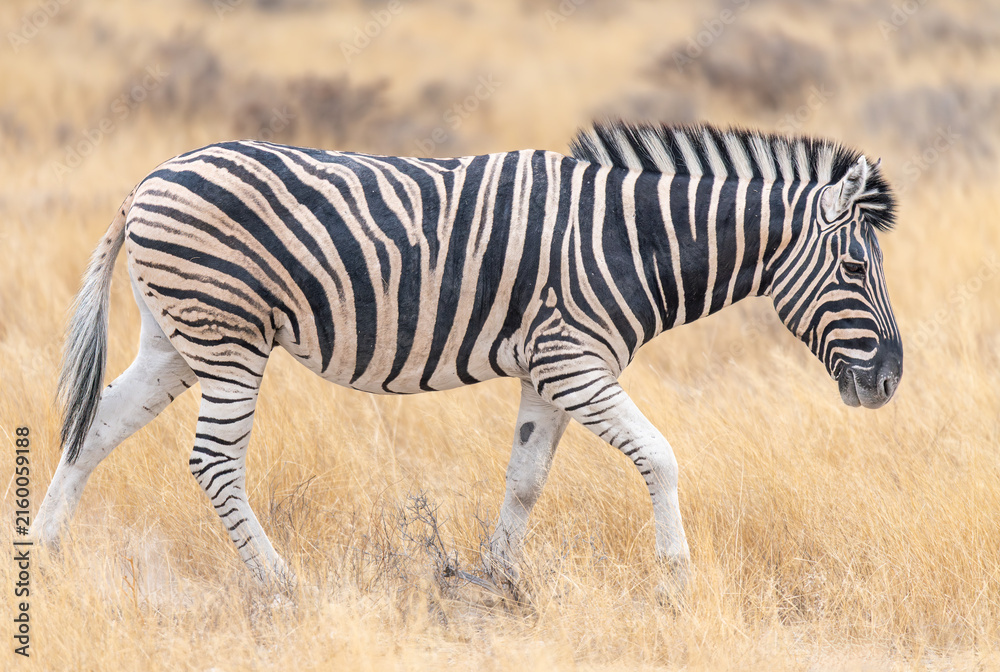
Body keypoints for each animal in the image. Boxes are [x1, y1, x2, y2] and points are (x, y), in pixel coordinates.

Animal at [32, 121, 902, 597]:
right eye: (854, 268)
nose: (890, 382)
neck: (634, 241)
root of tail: (147, 181)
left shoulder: (550, 368)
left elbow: (525, 479)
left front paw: (499, 582)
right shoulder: (575, 359)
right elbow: (660, 456)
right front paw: (676, 578)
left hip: (176, 340)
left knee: (95, 427)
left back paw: (42, 554)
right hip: (228, 335)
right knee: (212, 461)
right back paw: (282, 586)